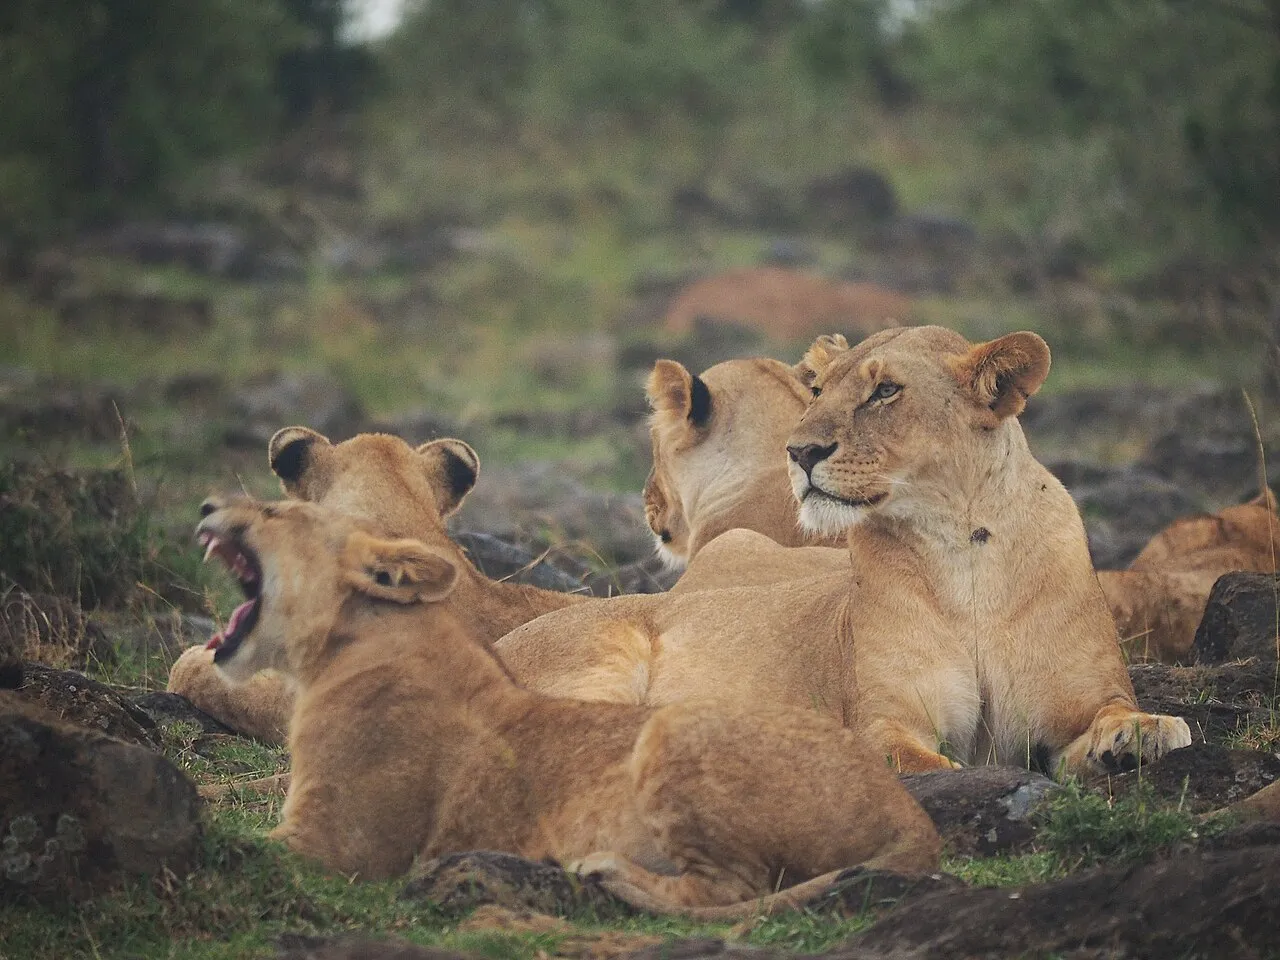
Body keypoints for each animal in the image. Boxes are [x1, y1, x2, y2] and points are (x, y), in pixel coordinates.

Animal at [195, 495, 941, 916]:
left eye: (276, 512)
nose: (203, 508)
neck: (340, 651)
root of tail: (910, 814)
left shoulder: (339, 847)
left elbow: (233, 849)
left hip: (673, 728)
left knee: (733, 889)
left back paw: (608, 874)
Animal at [496, 326, 1191, 776]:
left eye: (885, 392)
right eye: (820, 390)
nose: (800, 451)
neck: (963, 548)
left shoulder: (1071, 709)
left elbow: (1112, 713)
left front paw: (1144, 731)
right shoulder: (884, 718)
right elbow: (919, 761)